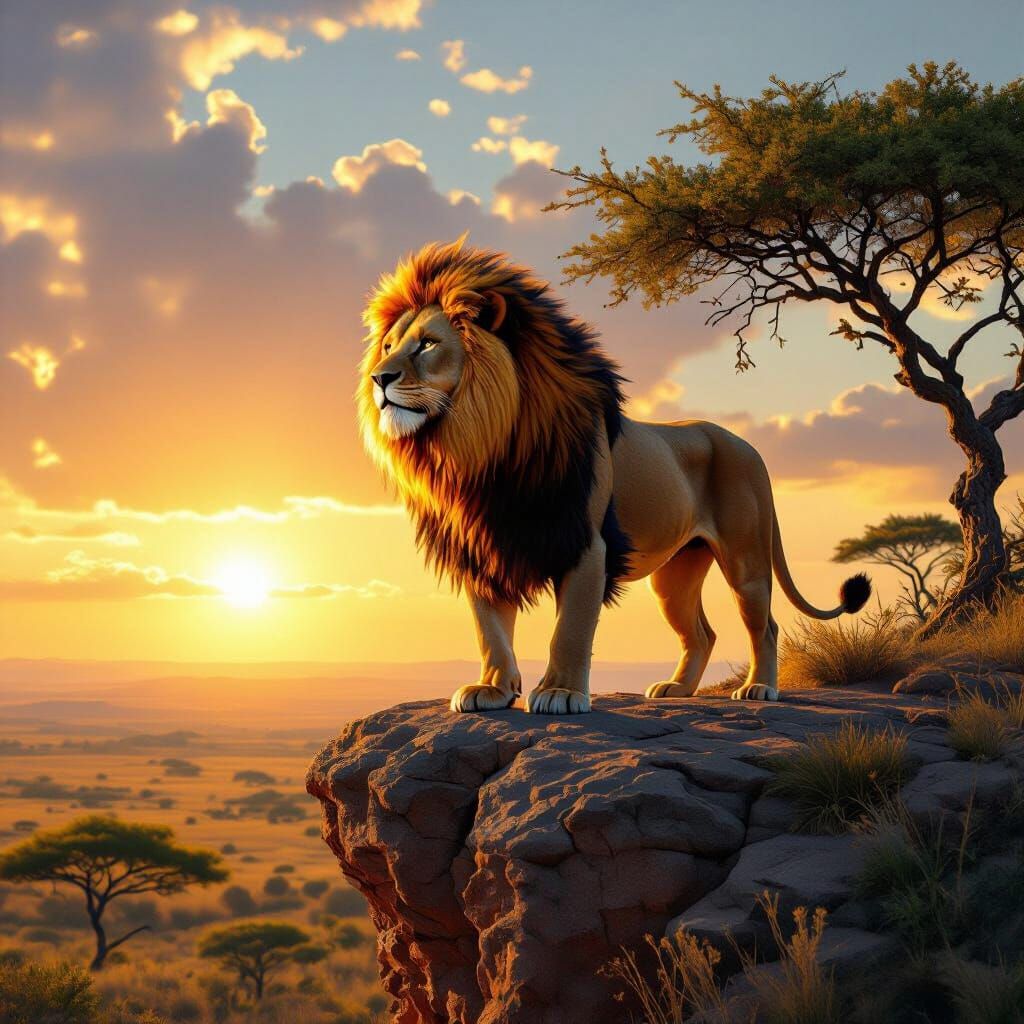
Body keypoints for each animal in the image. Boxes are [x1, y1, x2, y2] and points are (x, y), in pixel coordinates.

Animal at [357, 238, 870, 714]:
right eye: (388, 346)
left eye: (428, 344)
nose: (379, 378)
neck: (483, 449)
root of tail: (748, 446)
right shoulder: (484, 548)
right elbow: (491, 629)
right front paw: (493, 689)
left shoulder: (587, 544)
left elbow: (570, 628)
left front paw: (561, 693)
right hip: (674, 576)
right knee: (702, 632)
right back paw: (677, 689)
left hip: (745, 558)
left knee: (764, 624)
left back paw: (760, 688)